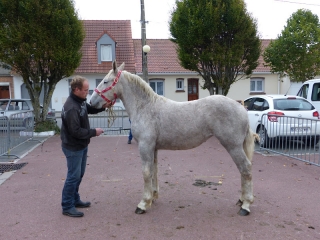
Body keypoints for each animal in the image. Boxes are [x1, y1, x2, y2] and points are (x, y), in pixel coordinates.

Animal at [89, 61, 255, 217]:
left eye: (105, 81)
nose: (91, 102)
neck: (145, 107)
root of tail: (241, 108)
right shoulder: (153, 148)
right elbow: (154, 171)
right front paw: (153, 197)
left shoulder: (145, 146)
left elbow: (146, 173)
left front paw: (143, 203)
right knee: (243, 170)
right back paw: (241, 200)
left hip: (233, 146)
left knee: (246, 168)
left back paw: (246, 206)